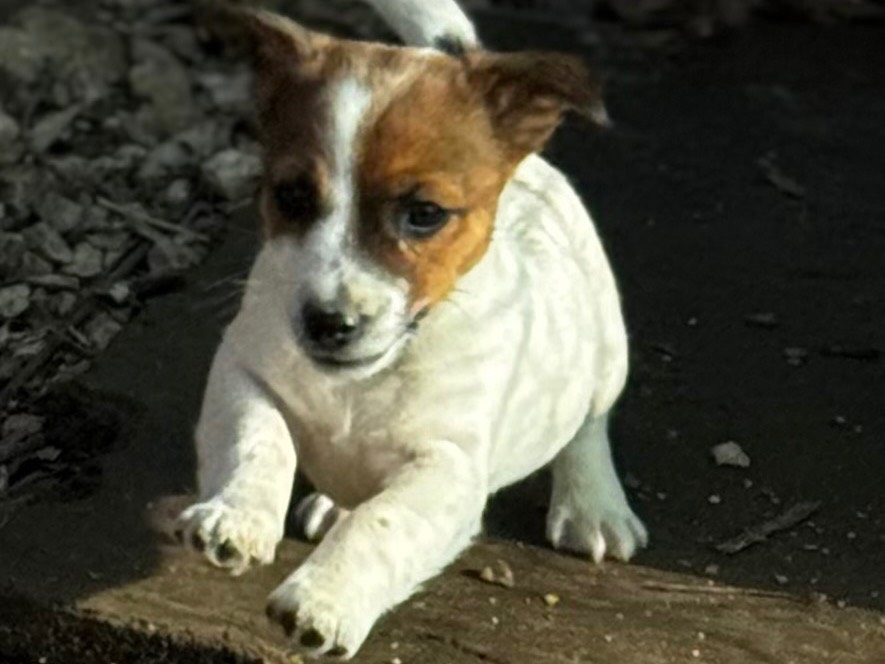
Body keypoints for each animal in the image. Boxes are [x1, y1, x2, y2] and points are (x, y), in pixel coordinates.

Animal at [175, 0, 647, 658]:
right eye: (290, 196)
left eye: (424, 214)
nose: (329, 323)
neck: (363, 383)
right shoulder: (243, 369)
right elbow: (258, 440)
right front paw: (237, 517)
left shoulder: (447, 467)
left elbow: (382, 523)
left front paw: (324, 600)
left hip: (604, 347)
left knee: (588, 427)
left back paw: (593, 508)